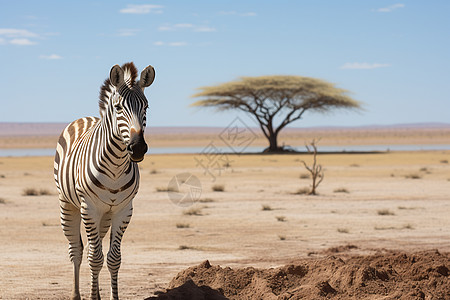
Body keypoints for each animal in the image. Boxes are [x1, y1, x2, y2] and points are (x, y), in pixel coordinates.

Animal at [55, 62, 155, 298]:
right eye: (118, 107)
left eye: (146, 107)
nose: (138, 148)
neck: (116, 165)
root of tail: (85, 117)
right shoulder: (89, 207)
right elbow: (94, 257)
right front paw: (93, 297)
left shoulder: (123, 210)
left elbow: (112, 258)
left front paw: (111, 295)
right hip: (69, 205)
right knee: (76, 250)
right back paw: (76, 294)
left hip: (104, 216)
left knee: (95, 246)